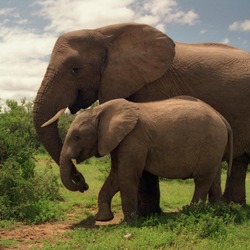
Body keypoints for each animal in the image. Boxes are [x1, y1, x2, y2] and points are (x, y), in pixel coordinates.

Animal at [60, 96, 232, 223]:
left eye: (76, 136)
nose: (84, 185)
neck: (99, 111)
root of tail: (223, 119)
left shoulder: (133, 140)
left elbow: (126, 176)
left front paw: (130, 223)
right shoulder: (119, 141)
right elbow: (115, 176)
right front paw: (103, 219)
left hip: (211, 143)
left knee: (202, 179)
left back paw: (191, 212)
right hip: (215, 147)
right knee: (214, 178)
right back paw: (215, 210)